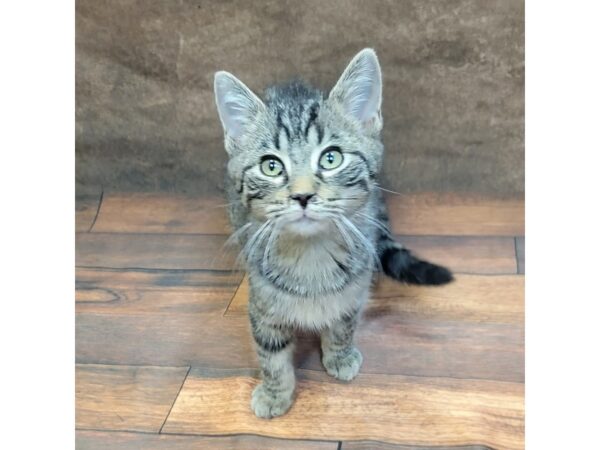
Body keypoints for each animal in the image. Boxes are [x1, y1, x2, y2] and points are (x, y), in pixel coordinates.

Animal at [213, 49, 452, 418]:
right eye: (271, 166)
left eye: (331, 158)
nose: (302, 195)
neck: (311, 255)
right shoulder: (262, 302)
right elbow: (270, 352)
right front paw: (275, 392)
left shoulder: (354, 290)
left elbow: (344, 323)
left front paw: (340, 355)